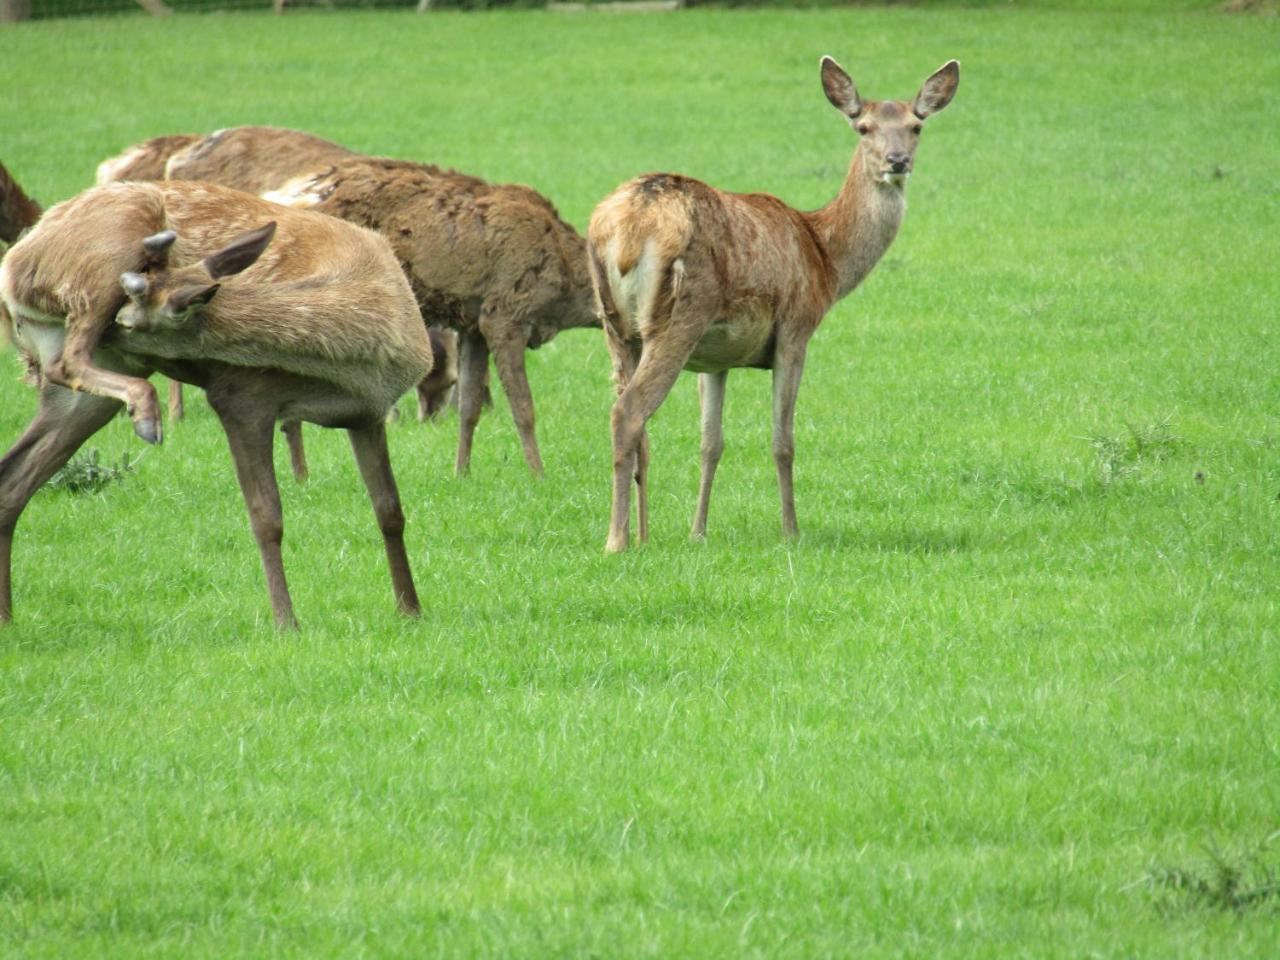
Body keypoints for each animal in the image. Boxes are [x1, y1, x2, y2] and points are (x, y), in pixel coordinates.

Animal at [0, 179, 435, 632]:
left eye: (128, 320)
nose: (112, 326)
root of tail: (12, 269)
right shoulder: (239, 395)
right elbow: (266, 515)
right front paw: (286, 622)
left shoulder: (367, 414)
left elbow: (390, 510)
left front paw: (411, 610)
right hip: (112, 249)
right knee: (66, 365)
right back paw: (147, 415)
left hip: (87, 389)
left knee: (12, 477)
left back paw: (7, 617)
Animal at [262, 156, 601, 481]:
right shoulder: (505, 314)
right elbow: (524, 407)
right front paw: (538, 475)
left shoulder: (474, 326)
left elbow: (469, 406)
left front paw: (461, 473)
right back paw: (301, 475)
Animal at [586, 58, 957, 555]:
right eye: (863, 127)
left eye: (916, 126)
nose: (897, 161)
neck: (824, 258)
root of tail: (626, 229)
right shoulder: (797, 328)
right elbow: (784, 440)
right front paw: (791, 530)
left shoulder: (715, 359)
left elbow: (711, 442)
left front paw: (697, 531)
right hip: (678, 316)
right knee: (628, 412)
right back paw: (617, 540)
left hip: (614, 325)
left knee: (635, 419)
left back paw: (642, 534)